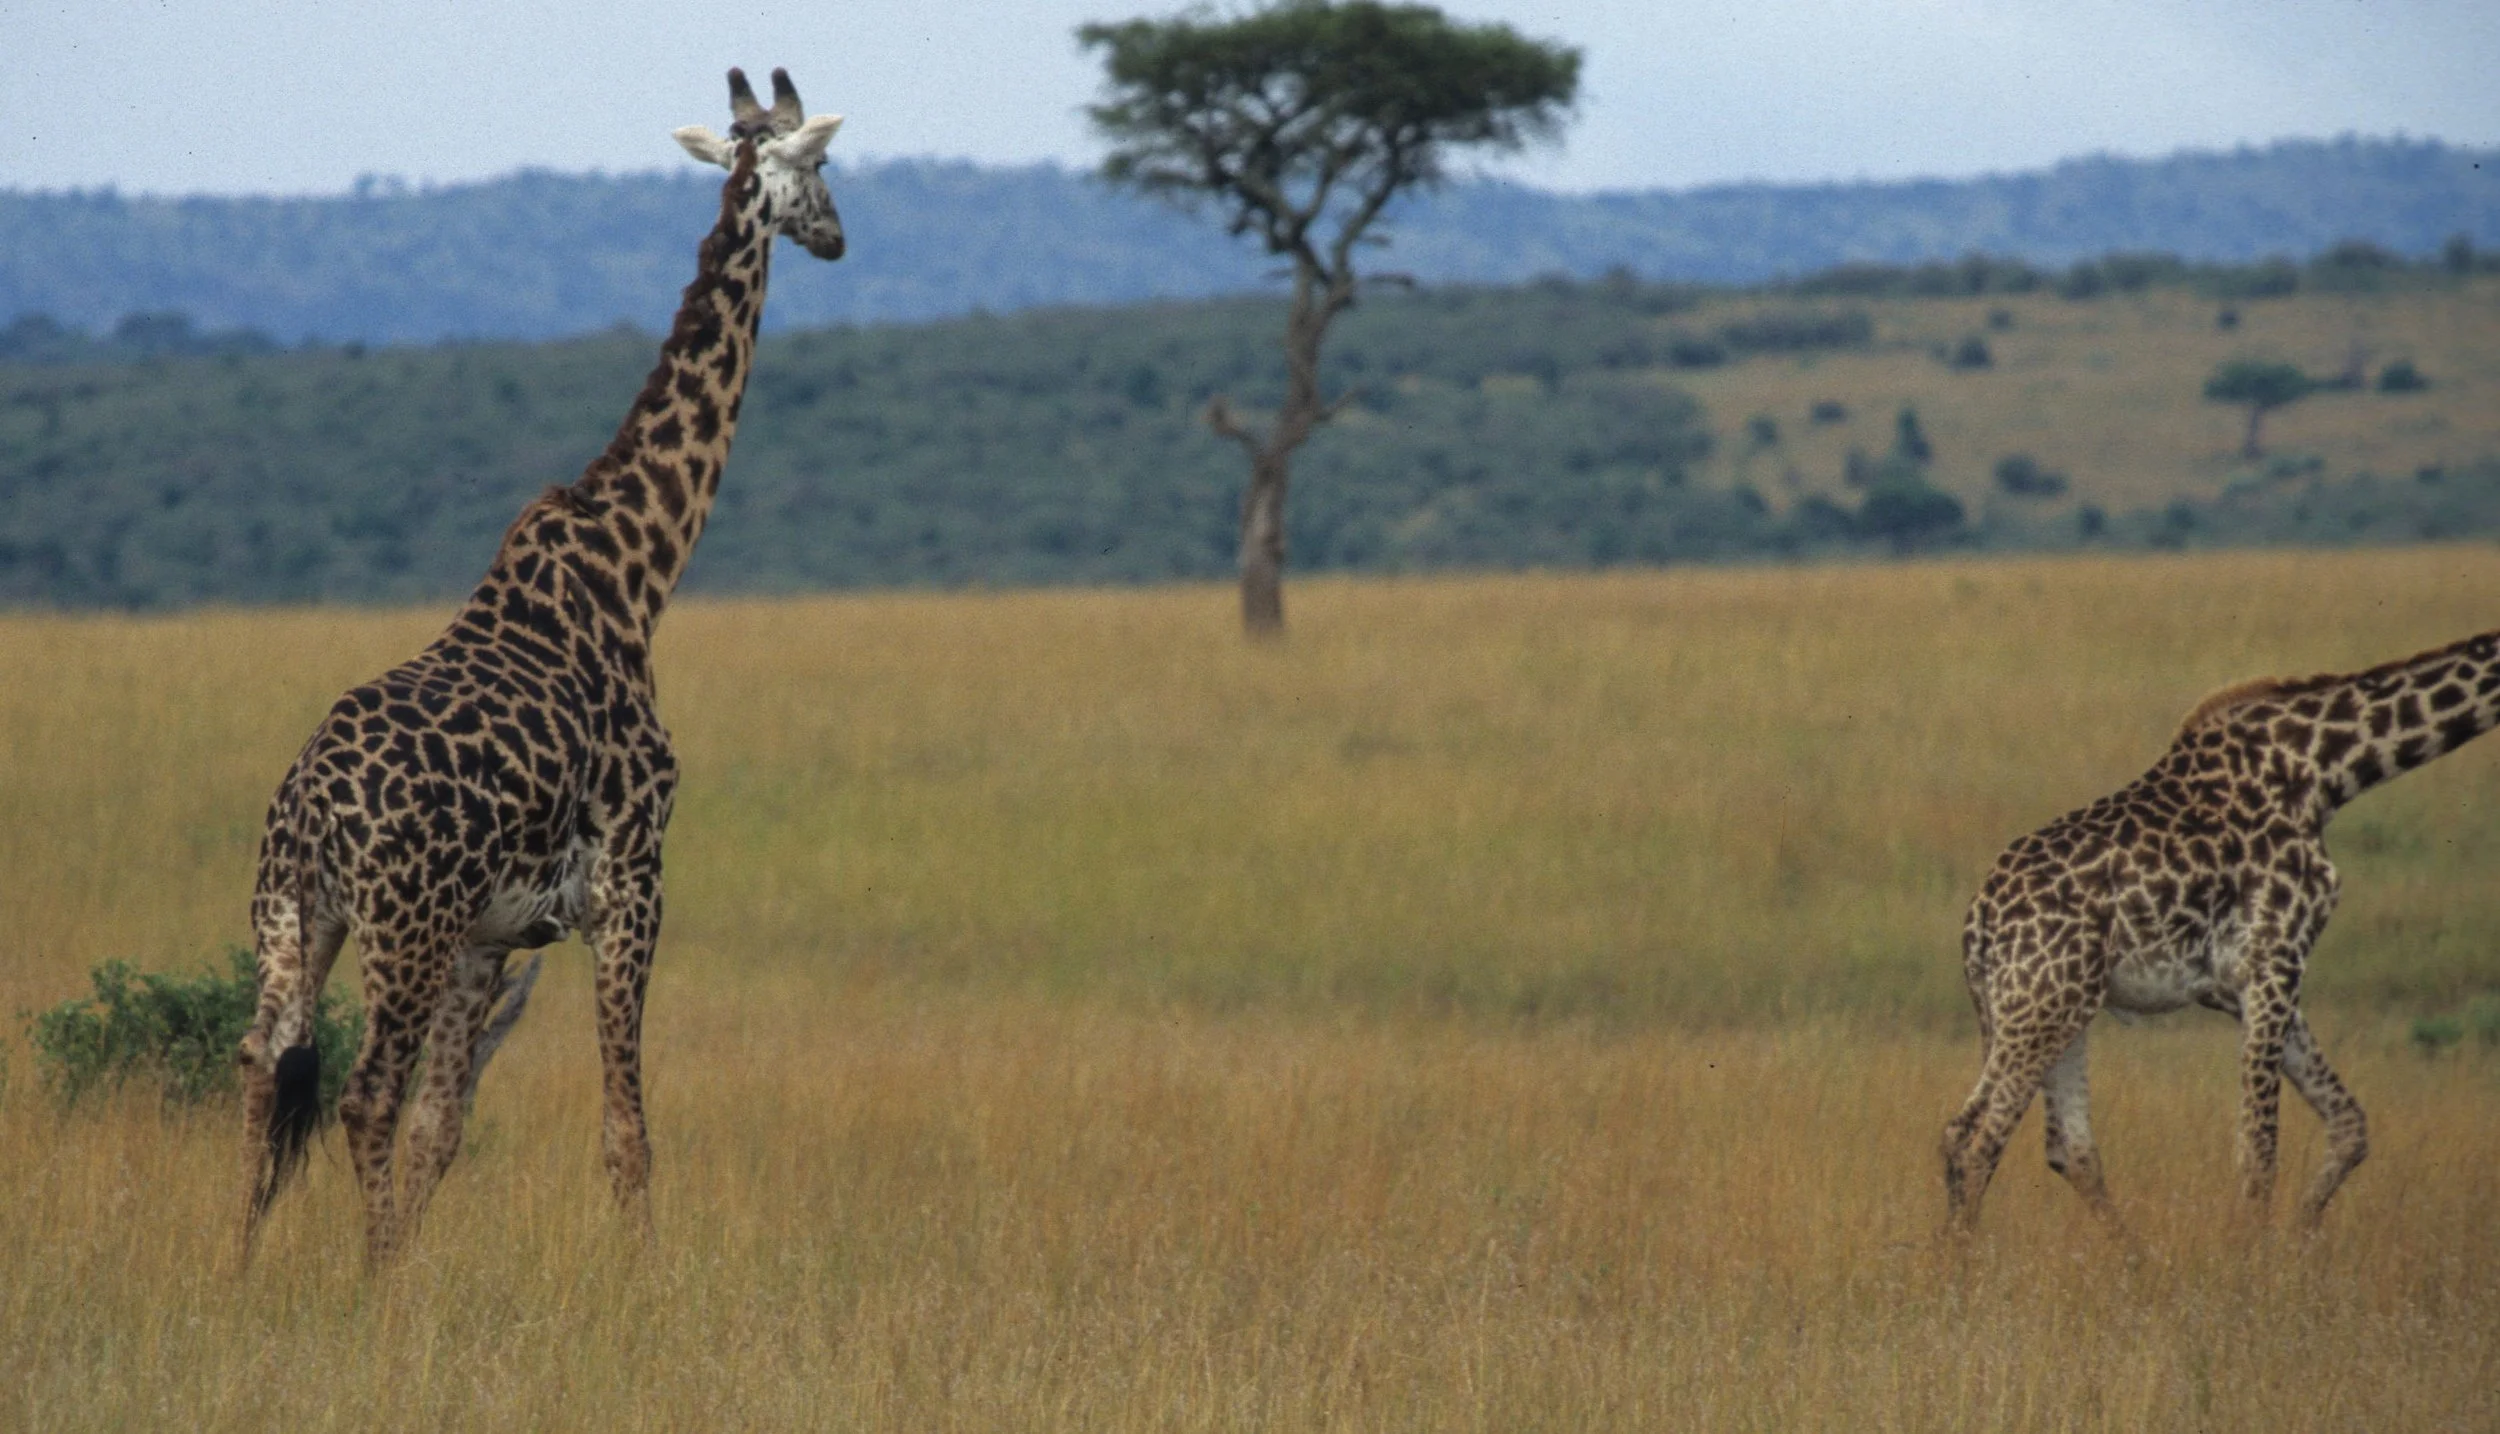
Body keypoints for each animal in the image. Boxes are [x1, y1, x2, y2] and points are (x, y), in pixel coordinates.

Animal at [233, 68, 846, 1270]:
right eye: (829, 167)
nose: (839, 236)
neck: (637, 576)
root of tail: (313, 807)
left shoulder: (494, 931)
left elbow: (446, 1127)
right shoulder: (633, 882)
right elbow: (626, 1130)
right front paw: (647, 1278)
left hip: (297, 917)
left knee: (259, 1070)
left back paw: (235, 1267)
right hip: (400, 929)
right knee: (361, 1096)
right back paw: (369, 1284)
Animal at [1942, 625, 2500, 1233]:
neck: (2325, 769)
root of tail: (1978, 922)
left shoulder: (2239, 984)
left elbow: (2349, 1125)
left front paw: (2299, 1236)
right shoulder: (2275, 957)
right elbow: (2258, 1153)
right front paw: (2256, 1256)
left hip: (2058, 1007)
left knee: (2062, 1147)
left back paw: (2129, 1254)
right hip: (2041, 1008)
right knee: (1976, 1140)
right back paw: (1964, 1261)